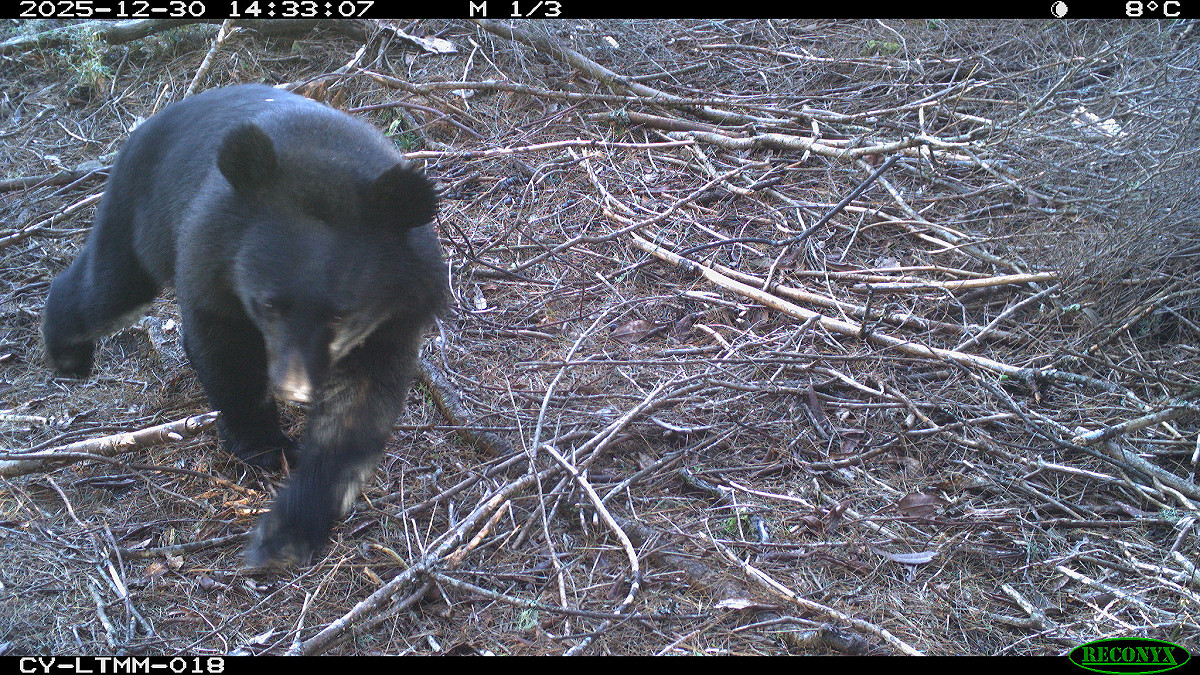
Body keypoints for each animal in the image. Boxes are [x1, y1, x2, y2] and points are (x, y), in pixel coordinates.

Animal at [41, 84, 448, 569]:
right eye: (269, 304)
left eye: (340, 314)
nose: (294, 388)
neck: (328, 164)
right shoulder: (211, 257)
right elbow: (227, 354)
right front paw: (263, 446)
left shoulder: (396, 315)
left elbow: (358, 410)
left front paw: (288, 532)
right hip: (143, 206)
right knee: (110, 286)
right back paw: (68, 353)